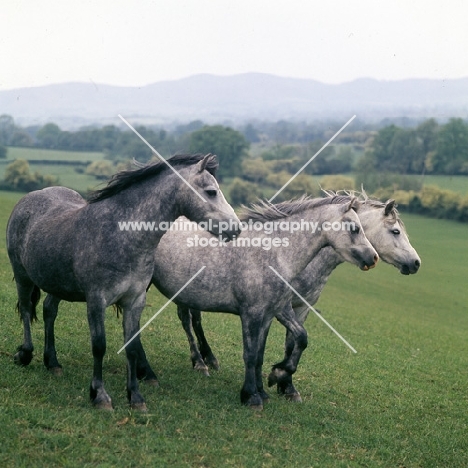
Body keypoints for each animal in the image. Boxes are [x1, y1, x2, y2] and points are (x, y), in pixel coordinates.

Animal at [6, 153, 241, 410]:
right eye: (211, 191)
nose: (236, 228)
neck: (119, 234)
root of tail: (29, 198)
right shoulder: (96, 301)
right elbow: (99, 345)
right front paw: (100, 395)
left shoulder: (134, 300)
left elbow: (131, 346)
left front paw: (136, 397)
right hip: (22, 276)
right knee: (26, 310)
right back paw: (25, 354)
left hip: (55, 283)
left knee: (49, 311)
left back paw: (53, 363)